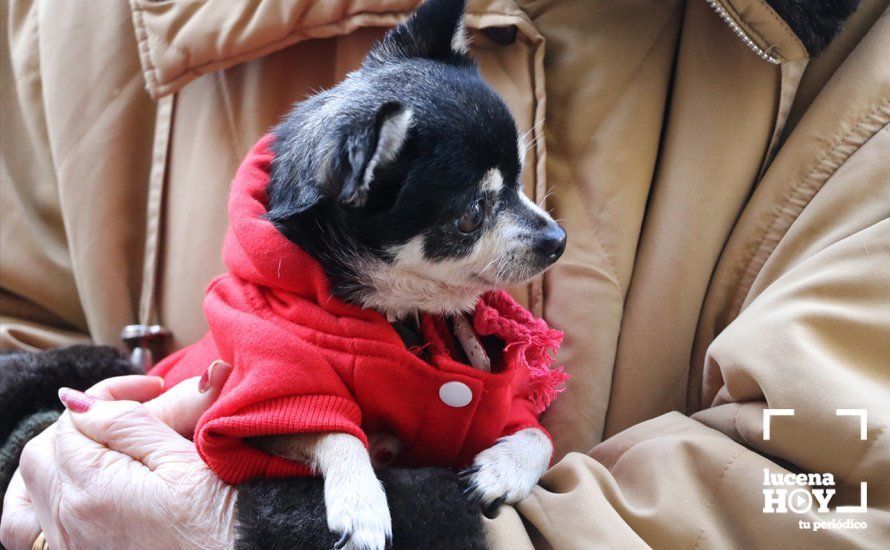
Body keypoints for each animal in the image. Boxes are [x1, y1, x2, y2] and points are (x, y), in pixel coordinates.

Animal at [253, 2, 564, 548]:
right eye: (471, 215)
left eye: (520, 181)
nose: (559, 239)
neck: (400, 308)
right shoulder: (268, 404)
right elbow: (329, 426)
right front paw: (361, 501)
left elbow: (535, 434)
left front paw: (502, 468)